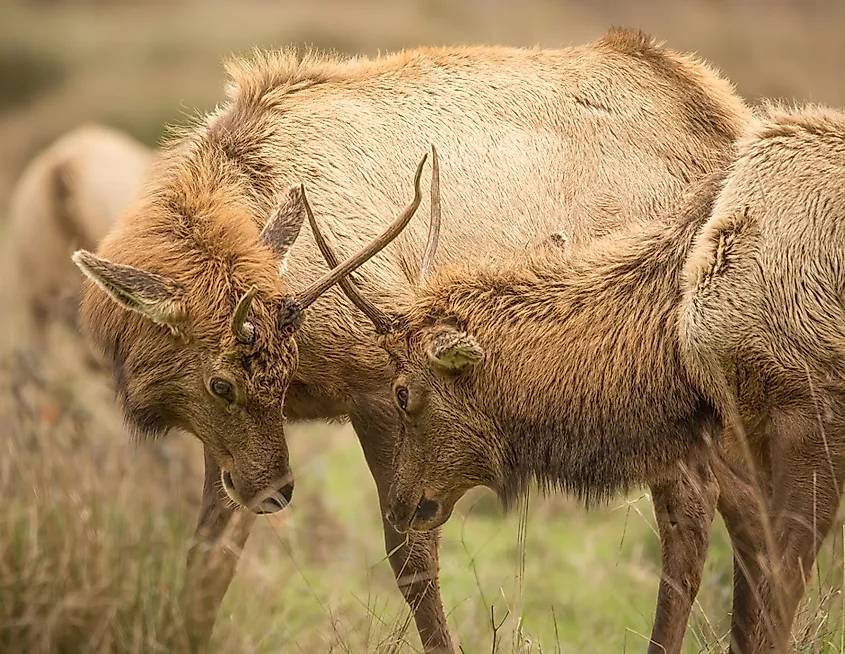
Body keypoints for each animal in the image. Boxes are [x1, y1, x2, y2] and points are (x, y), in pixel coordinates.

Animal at [71, 28, 751, 652]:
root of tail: (728, 115)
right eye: (222, 384)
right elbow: (209, 557)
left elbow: (411, 557)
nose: (276, 492)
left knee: (694, 508)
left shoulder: (383, 384)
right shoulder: (234, 441)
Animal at [315, 104, 845, 653]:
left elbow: (777, 598)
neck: (676, 342)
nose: (398, 507)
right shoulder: (750, 429)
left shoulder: (812, 416)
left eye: (402, 393)